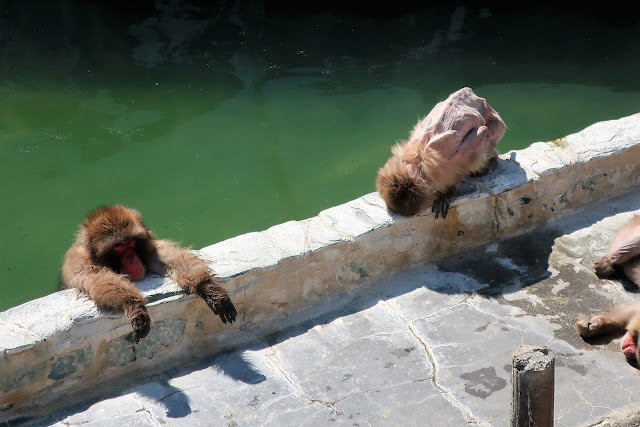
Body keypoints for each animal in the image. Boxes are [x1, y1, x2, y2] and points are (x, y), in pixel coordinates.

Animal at [62, 205, 238, 344]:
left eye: (131, 242)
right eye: (118, 246)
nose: (132, 259)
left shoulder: (149, 247)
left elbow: (171, 260)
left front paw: (209, 289)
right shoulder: (80, 263)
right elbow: (99, 279)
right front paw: (134, 305)